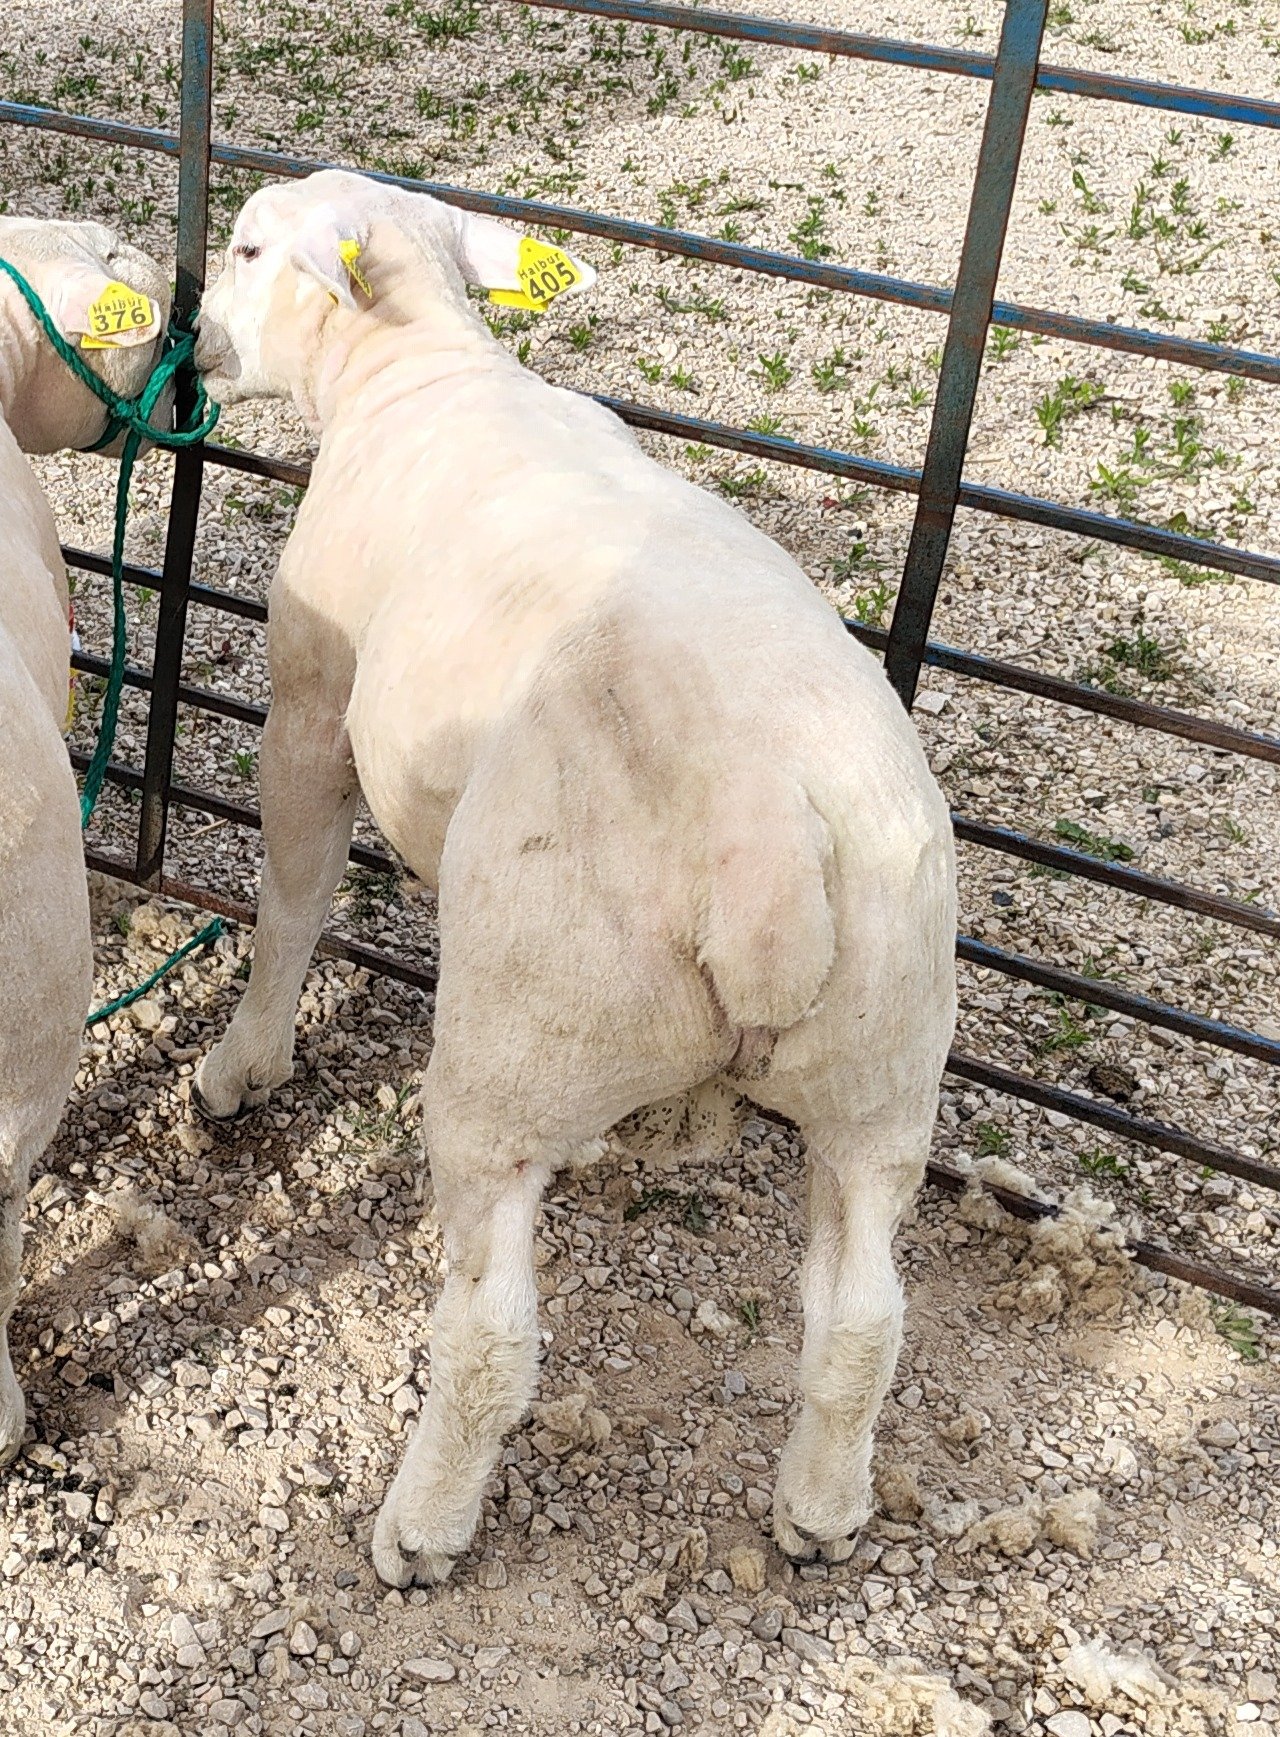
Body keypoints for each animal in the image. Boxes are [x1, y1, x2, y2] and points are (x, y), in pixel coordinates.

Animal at [192, 168, 957, 1589]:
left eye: (253, 247)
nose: (192, 332)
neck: (416, 368)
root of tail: (767, 842)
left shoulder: (313, 701)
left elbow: (292, 892)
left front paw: (242, 1066)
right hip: (881, 1068)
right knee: (862, 1320)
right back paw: (819, 1508)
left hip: (517, 1043)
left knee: (492, 1340)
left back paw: (422, 1528)